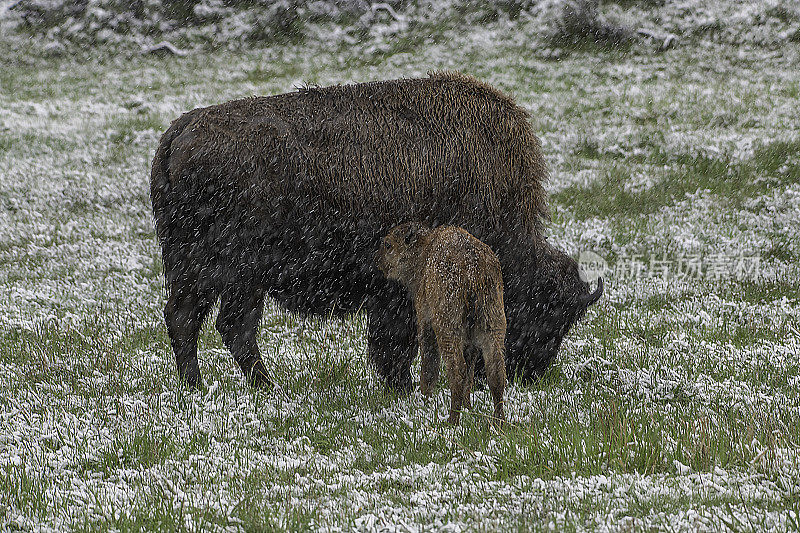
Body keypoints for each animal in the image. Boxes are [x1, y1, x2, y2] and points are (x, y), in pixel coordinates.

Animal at [148, 70, 600, 390]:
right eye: (547, 313)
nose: (529, 373)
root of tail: (178, 133)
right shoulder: (398, 291)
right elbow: (396, 342)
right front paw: (403, 386)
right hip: (228, 270)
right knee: (211, 322)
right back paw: (229, 387)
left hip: (217, 270)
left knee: (209, 321)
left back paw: (232, 387)